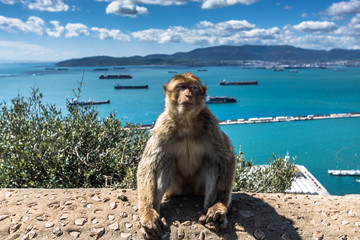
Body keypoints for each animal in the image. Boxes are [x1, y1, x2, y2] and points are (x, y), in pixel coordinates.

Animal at [136, 72, 236, 239]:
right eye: (181, 87)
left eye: (194, 88)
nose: (188, 94)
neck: (186, 121)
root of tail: (187, 190)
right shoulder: (163, 124)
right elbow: (148, 165)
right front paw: (148, 213)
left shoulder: (211, 123)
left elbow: (226, 158)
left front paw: (219, 206)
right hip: (175, 188)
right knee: (164, 160)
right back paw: (157, 215)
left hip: (198, 187)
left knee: (213, 161)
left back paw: (211, 216)